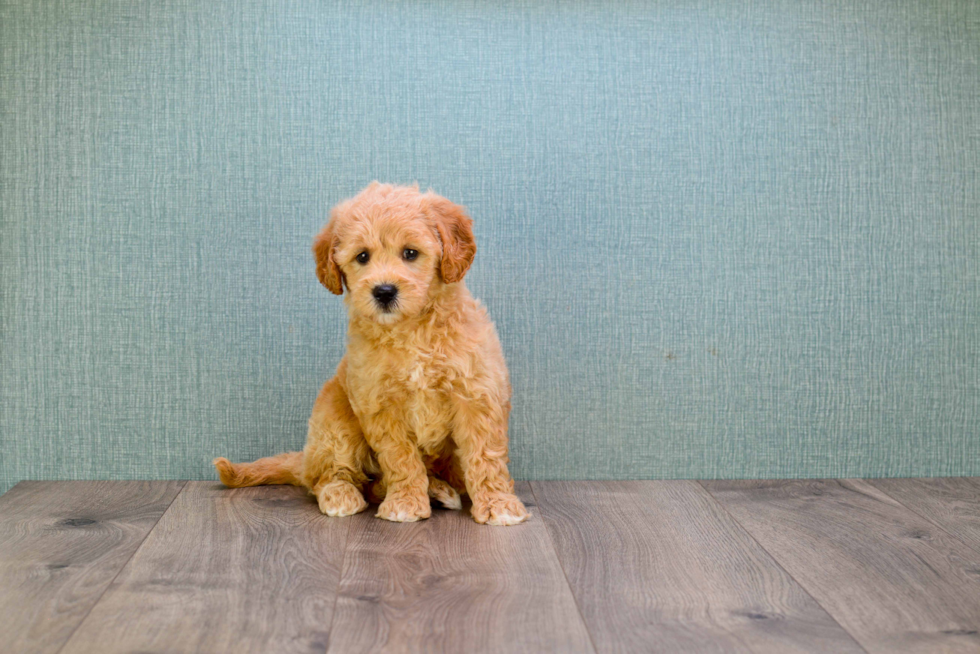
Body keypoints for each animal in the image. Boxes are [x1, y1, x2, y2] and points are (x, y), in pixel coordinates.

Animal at [216, 183, 528, 528]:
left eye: (410, 253)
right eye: (362, 256)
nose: (384, 291)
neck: (410, 331)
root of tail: (305, 458)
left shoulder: (476, 394)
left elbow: (485, 456)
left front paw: (497, 503)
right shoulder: (379, 403)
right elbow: (400, 458)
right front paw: (405, 502)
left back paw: (438, 490)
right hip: (334, 419)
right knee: (329, 476)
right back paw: (343, 494)